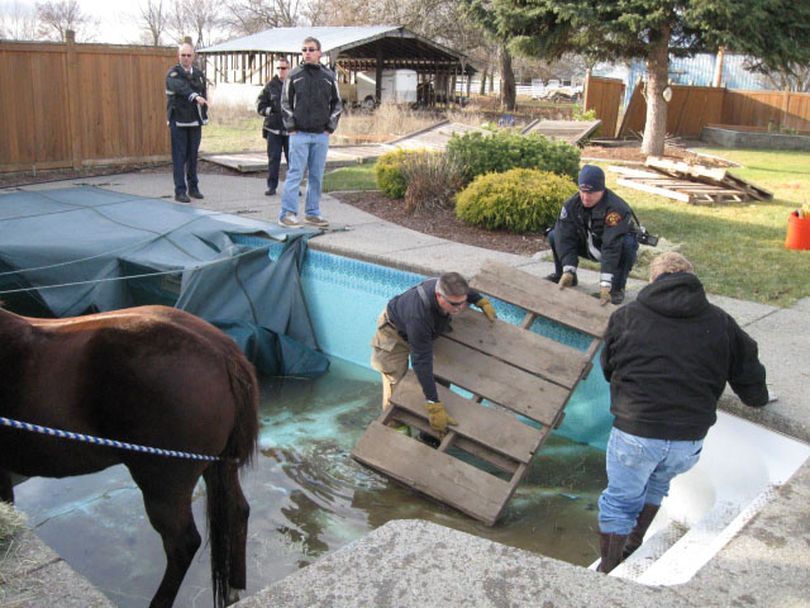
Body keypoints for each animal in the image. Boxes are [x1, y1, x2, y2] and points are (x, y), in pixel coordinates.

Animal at [0, 306, 258, 604]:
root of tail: (223, 352)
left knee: (182, 543)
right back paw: (235, 588)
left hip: (163, 482)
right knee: (238, 511)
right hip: (219, 465)